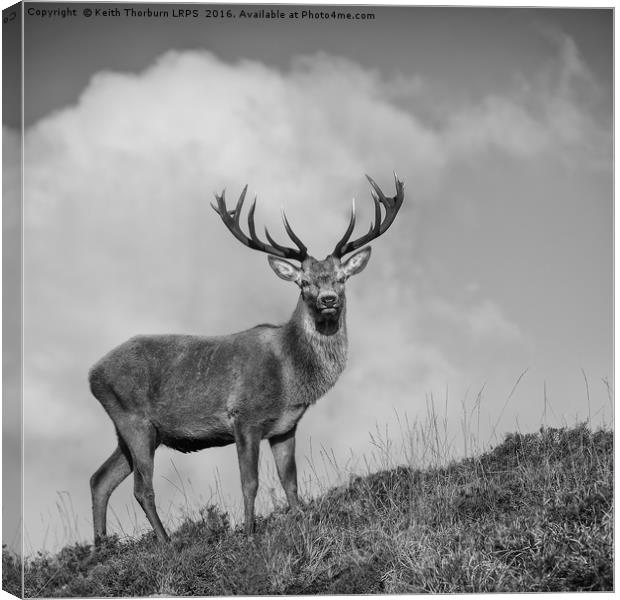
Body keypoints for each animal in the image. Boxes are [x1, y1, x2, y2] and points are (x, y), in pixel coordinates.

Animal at [89, 172, 404, 544]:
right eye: (303, 283)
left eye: (341, 278)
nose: (328, 300)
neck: (289, 374)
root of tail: (92, 374)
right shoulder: (245, 417)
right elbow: (249, 482)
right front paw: (250, 532)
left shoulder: (286, 426)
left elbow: (290, 481)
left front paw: (301, 518)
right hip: (133, 418)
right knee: (141, 487)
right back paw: (166, 544)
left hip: (134, 430)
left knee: (100, 479)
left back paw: (100, 548)